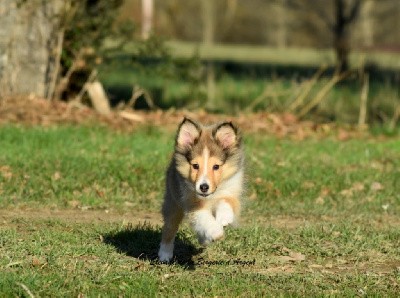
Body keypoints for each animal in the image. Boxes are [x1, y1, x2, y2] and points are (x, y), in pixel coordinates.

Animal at [158, 117, 245, 262]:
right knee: (169, 228)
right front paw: (216, 231)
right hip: (172, 200)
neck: (210, 196)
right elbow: (204, 218)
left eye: (216, 166)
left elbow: (226, 201)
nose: (204, 187)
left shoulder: (231, 189)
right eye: (195, 166)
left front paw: (224, 218)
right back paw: (164, 254)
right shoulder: (191, 202)